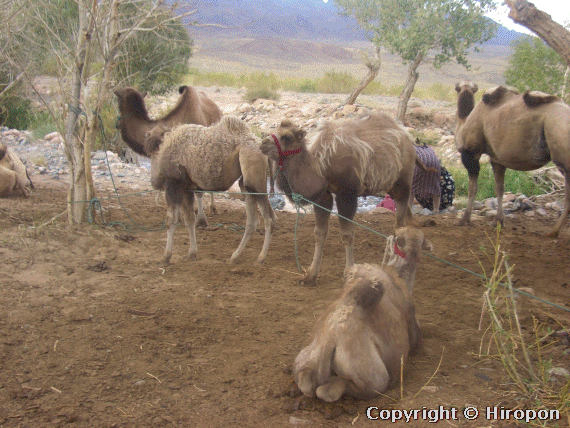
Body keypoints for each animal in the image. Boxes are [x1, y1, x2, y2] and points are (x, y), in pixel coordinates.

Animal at [113, 85, 222, 229]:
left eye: (118, 102)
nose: (117, 124)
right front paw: (181, 215)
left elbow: (198, 191)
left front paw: (201, 221)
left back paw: (212, 208)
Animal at [151, 115, 276, 266]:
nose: (154, 182)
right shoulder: (187, 188)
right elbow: (189, 219)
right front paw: (191, 254)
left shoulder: (173, 183)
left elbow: (171, 220)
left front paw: (165, 257)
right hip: (246, 184)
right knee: (253, 221)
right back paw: (234, 257)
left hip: (255, 182)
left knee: (269, 218)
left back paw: (260, 258)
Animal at [260, 113, 414, 288]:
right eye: (273, 131)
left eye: (287, 137)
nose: (263, 143)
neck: (321, 167)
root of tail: (406, 135)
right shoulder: (323, 196)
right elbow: (319, 233)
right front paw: (310, 276)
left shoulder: (346, 194)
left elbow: (347, 234)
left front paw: (349, 273)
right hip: (390, 186)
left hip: (403, 182)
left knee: (399, 223)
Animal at [452, 80, 568, 237]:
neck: (464, 123)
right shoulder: (496, 160)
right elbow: (499, 188)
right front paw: (498, 222)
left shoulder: (470, 153)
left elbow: (472, 188)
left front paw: (464, 219)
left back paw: (552, 231)